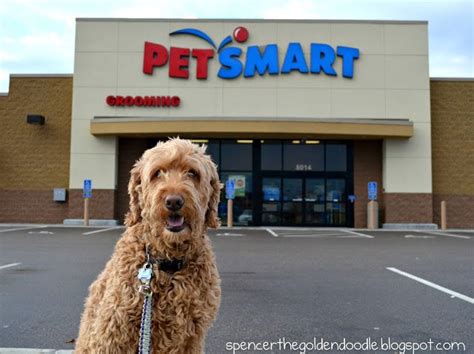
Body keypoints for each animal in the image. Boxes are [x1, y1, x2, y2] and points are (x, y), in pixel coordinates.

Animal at [74, 139, 222, 354]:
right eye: (157, 173)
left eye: (192, 173)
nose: (173, 201)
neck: (166, 262)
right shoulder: (112, 330)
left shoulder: (192, 337)